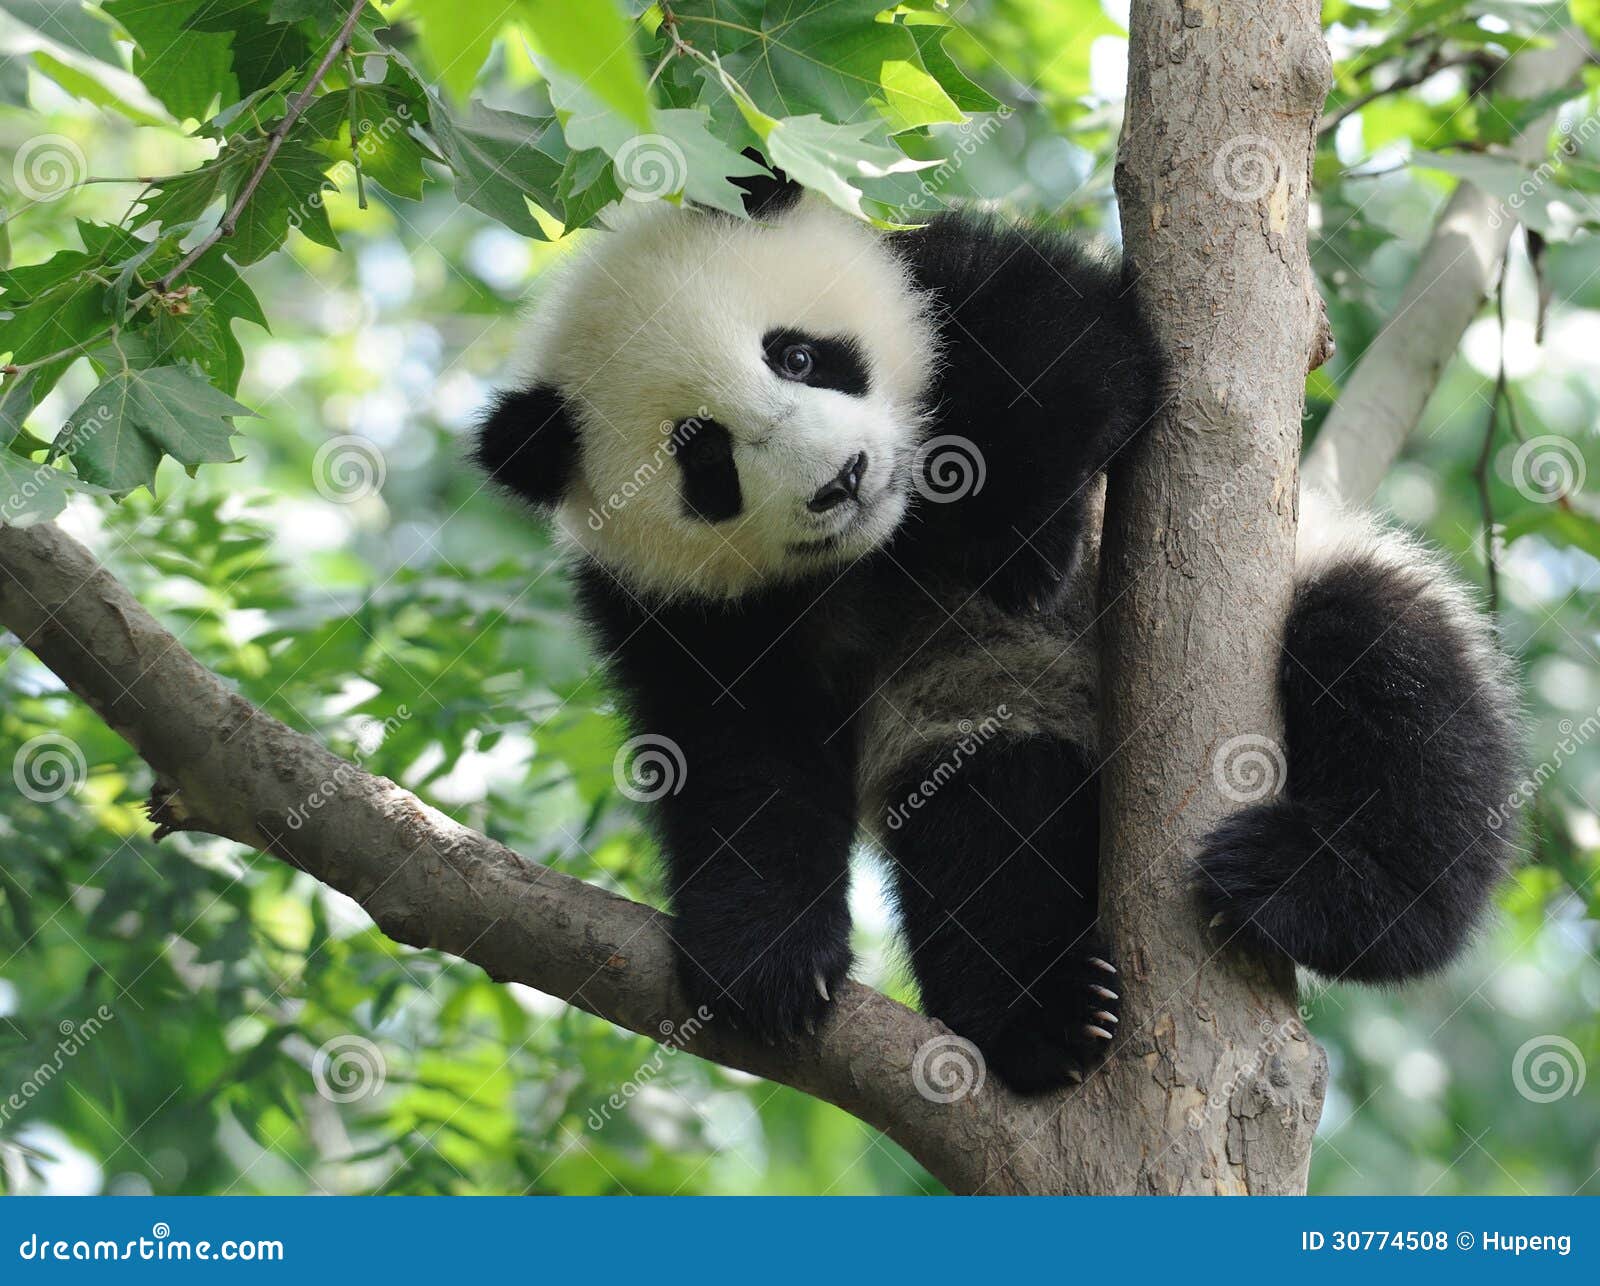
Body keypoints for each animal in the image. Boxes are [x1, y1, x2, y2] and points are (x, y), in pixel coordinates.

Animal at [470, 171, 1510, 1094]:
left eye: (798, 356)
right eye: (707, 458)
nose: (842, 479)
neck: (882, 546)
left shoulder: (941, 275)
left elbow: (1075, 342)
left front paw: (1019, 544)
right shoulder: (670, 604)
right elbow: (735, 755)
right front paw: (765, 961)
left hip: (1317, 585)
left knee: (1390, 683)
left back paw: (1314, 888)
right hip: (983, 718)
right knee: (987, 834)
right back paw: (1048, 1019)